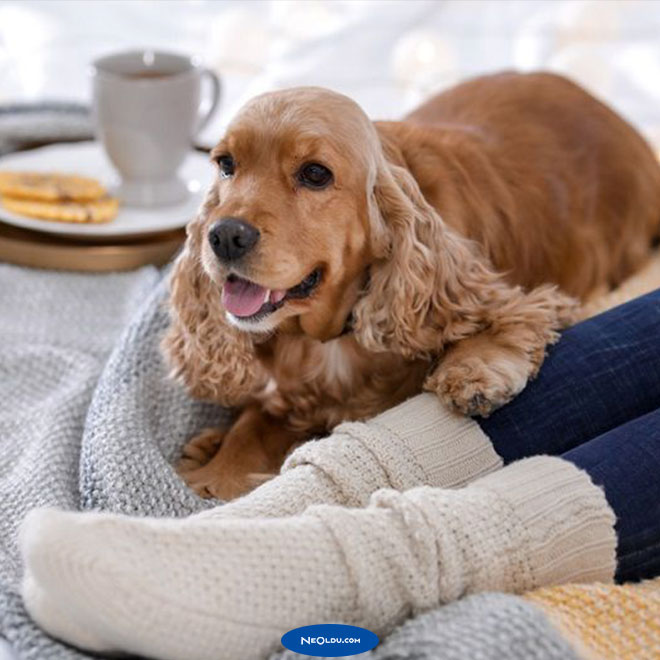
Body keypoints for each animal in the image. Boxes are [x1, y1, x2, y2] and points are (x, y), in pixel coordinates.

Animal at [164, 72, 660, 498]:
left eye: (315, 173)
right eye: (226, 164)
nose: (225, 235)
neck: (332, 336)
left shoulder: (524, 295)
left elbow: (506, 317)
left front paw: (472, 370)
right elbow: (251, 425)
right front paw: (218, 468)